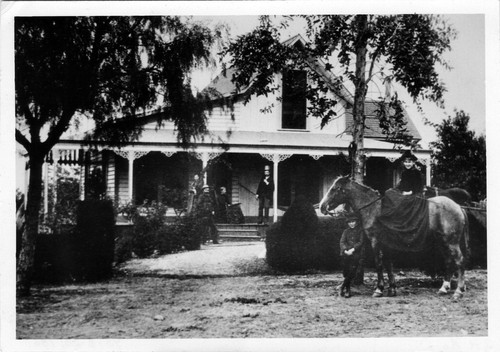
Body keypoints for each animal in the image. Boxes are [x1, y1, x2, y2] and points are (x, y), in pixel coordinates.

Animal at [320, 176, 468, 300]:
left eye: (335, 188)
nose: (322, 207)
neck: (373, 208)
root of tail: (457, 206)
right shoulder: (386, 244)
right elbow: (388, 265)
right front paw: (392, 289)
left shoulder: (375, 241)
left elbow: (379, 264)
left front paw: (379, 289)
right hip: (442, 241)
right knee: (448, 261)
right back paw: (443, 288)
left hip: (451, 242)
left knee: (459, 261)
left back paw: (458, 291)